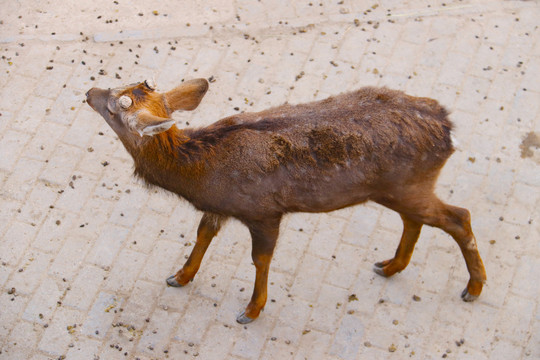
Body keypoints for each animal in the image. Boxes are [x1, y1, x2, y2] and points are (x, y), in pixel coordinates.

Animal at [86, 78, 488, 324]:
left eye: (115, 108)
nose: (89, 91)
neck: (201, 171)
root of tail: (448, 129)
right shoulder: (219, 207)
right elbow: (203, 235)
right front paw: (179, 276)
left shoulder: (264, 210)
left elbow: (260, 259)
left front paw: (251, 310)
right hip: (398, 189)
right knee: (417, 219)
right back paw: (390, 266)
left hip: (408, 185)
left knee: (460, 216)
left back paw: (473, 288)